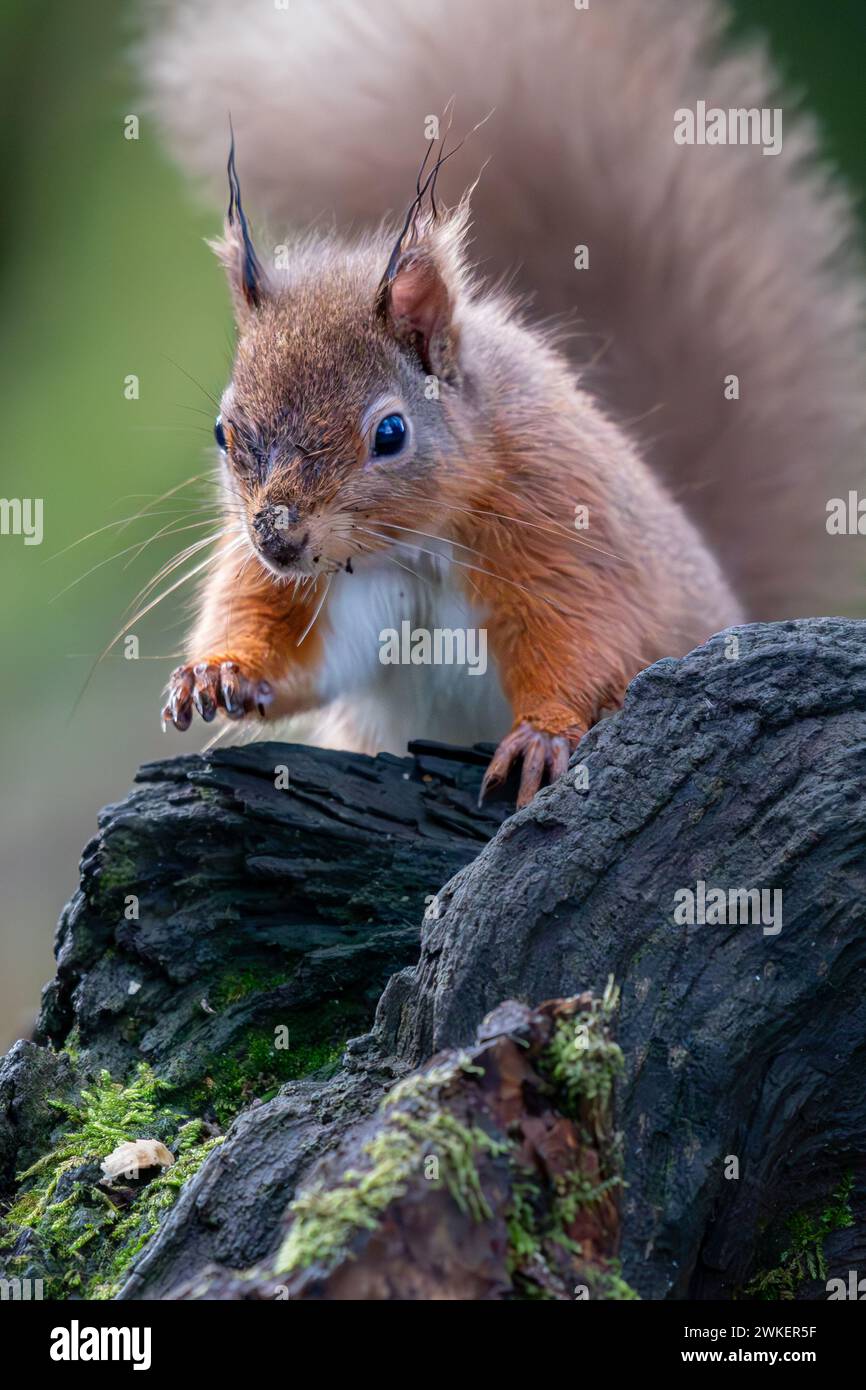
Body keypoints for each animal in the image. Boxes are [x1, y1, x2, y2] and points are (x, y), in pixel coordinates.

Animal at [143, 0, 866, 811]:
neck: (409, 546)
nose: (277, 539)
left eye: (390, 432)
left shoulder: (564, 525)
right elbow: (290, 645)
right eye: (222, 432)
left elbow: (584, 639)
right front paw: (217, 673)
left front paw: (542, 737)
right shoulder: (322, 593)